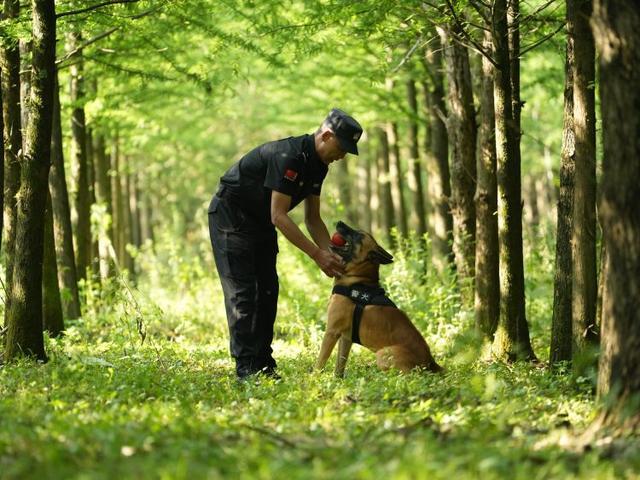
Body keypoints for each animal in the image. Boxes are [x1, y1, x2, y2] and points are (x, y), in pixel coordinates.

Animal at [314, 219, 440, 376]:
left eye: (359, 235)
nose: (339, 222)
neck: (358, 279)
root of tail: (430, 363)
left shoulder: (331, 331)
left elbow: (320, 362)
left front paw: (313, 380)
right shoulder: (346, 338)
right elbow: (339, 365)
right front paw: (337, 380)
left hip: (382, 354)